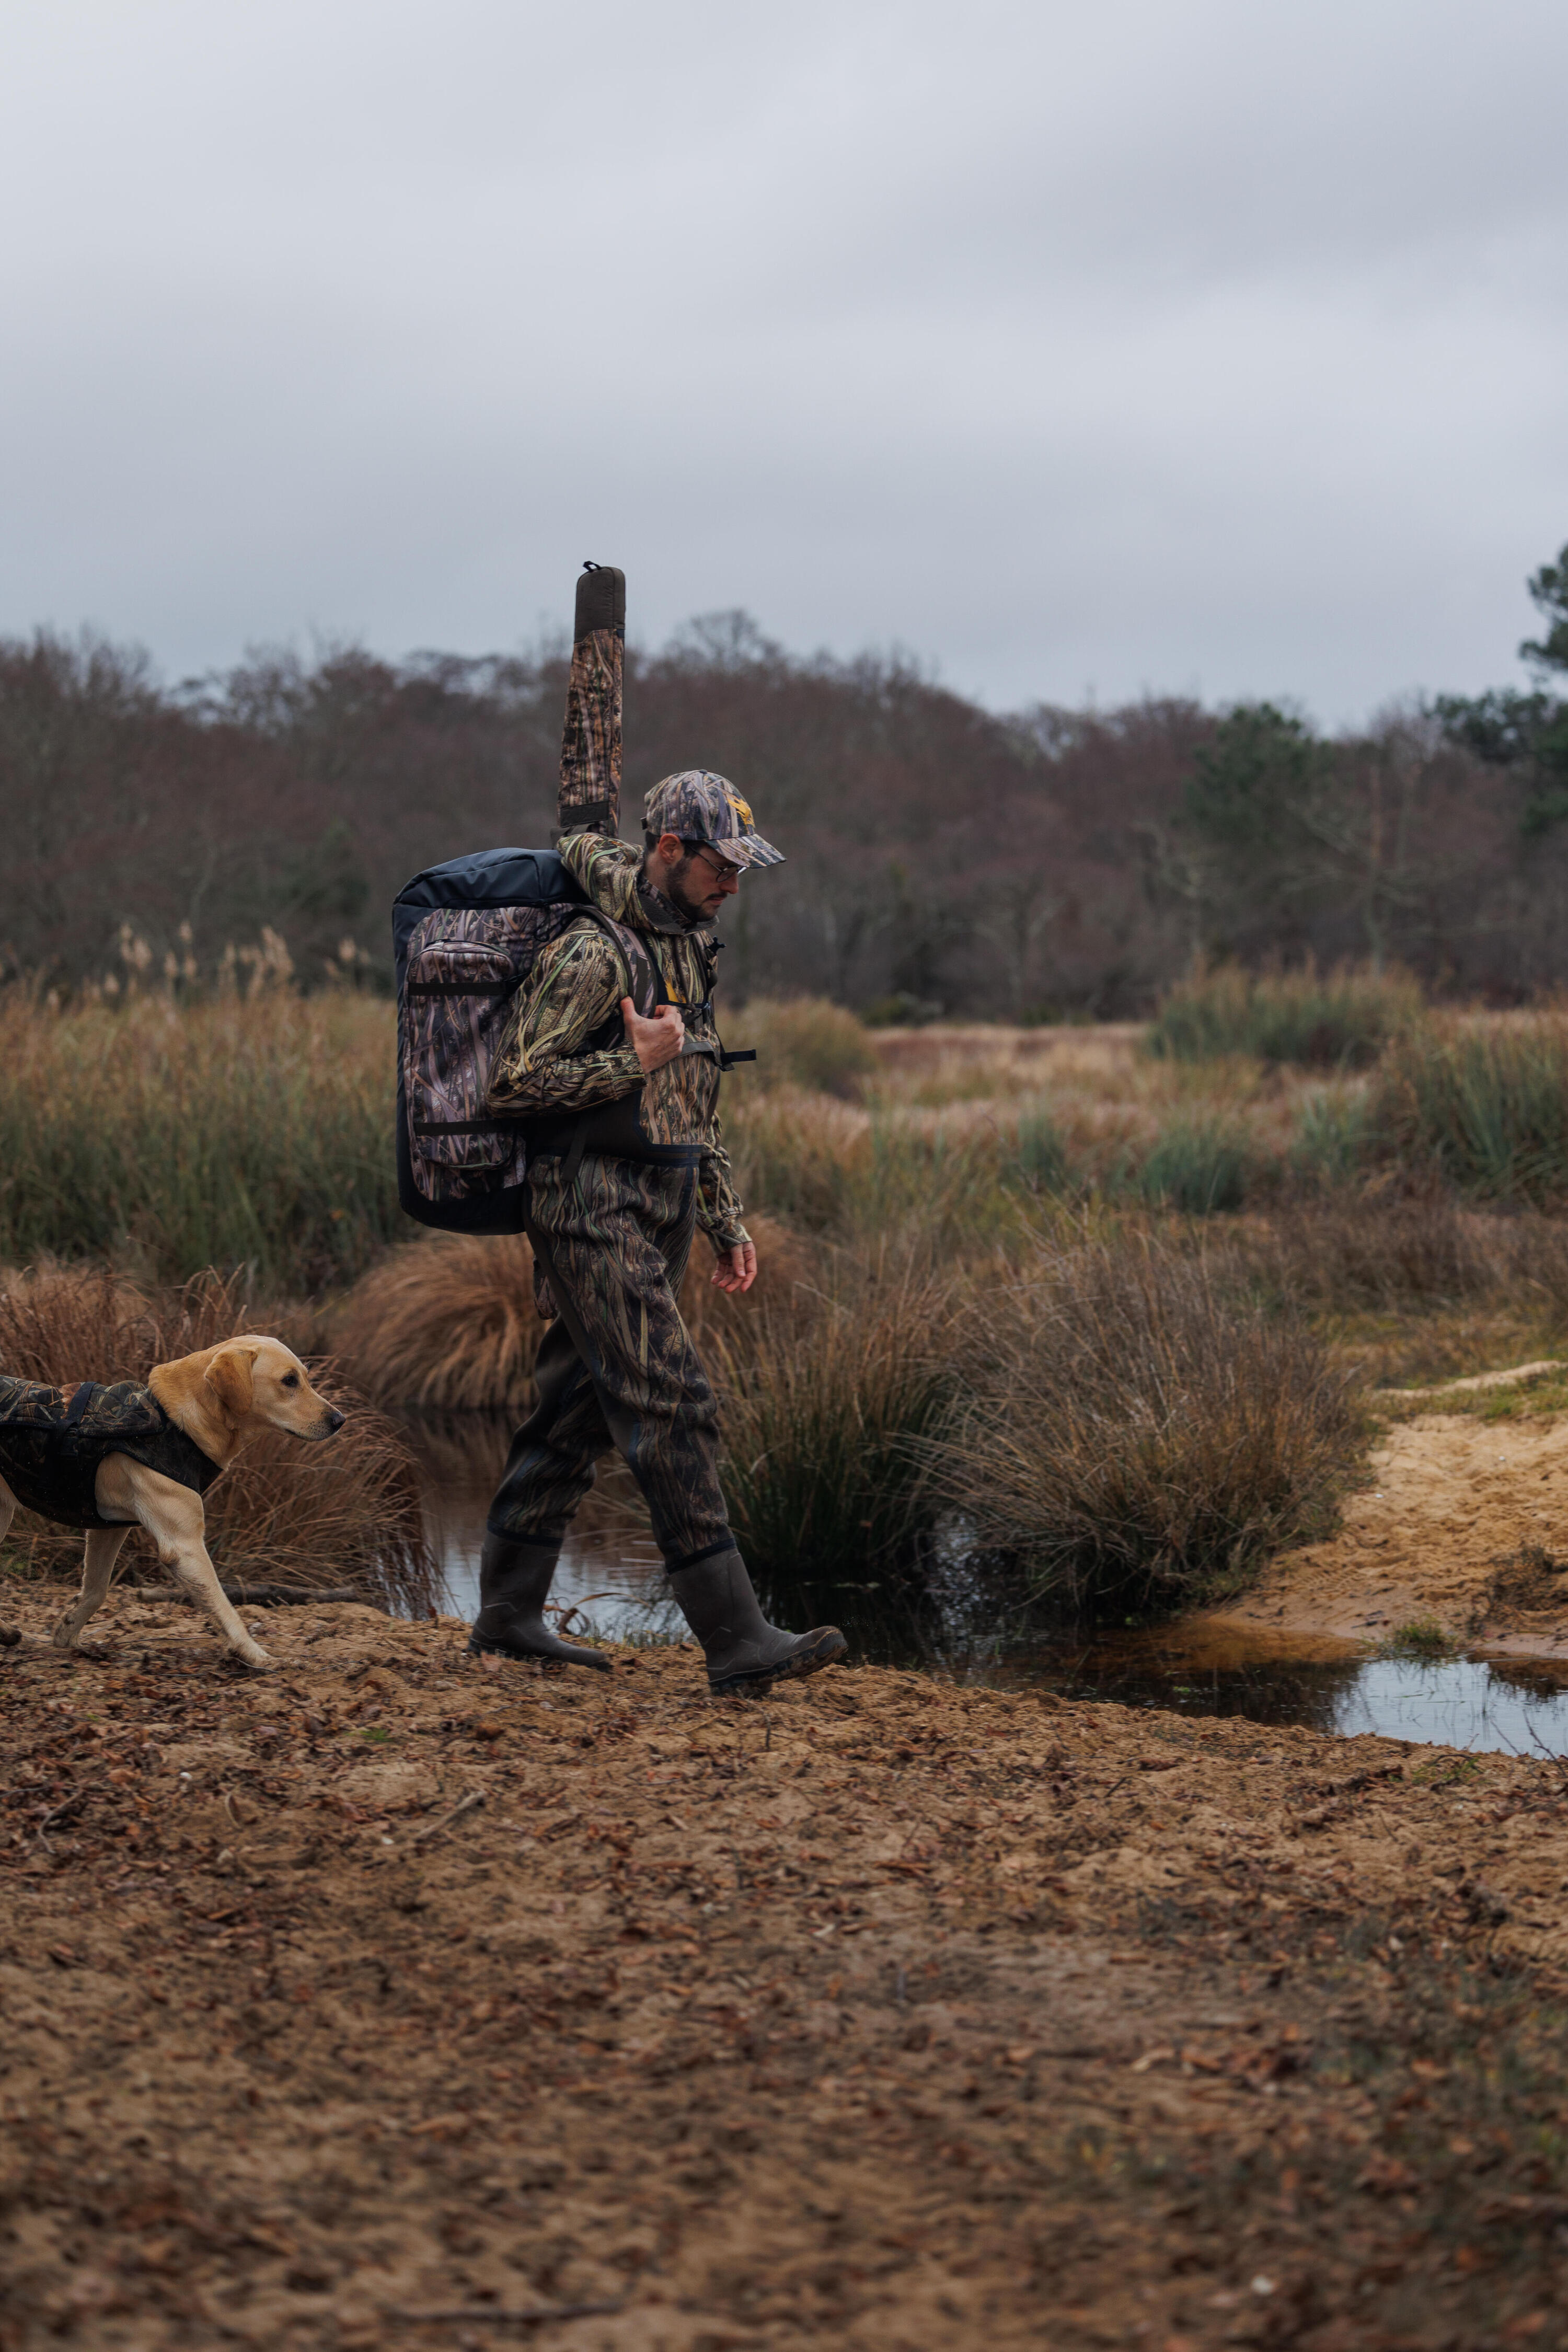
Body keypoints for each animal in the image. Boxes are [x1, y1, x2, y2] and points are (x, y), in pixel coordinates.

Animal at [0, 1345, 343, 1675]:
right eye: (289, 1381)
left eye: (305, 1377)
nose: (340, 1421)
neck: (176, 1425)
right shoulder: (185, 1547)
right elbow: (226, 1610)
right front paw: (258, 1657)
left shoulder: (109, 1529)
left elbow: (96, 1590)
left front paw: (67, 1630)